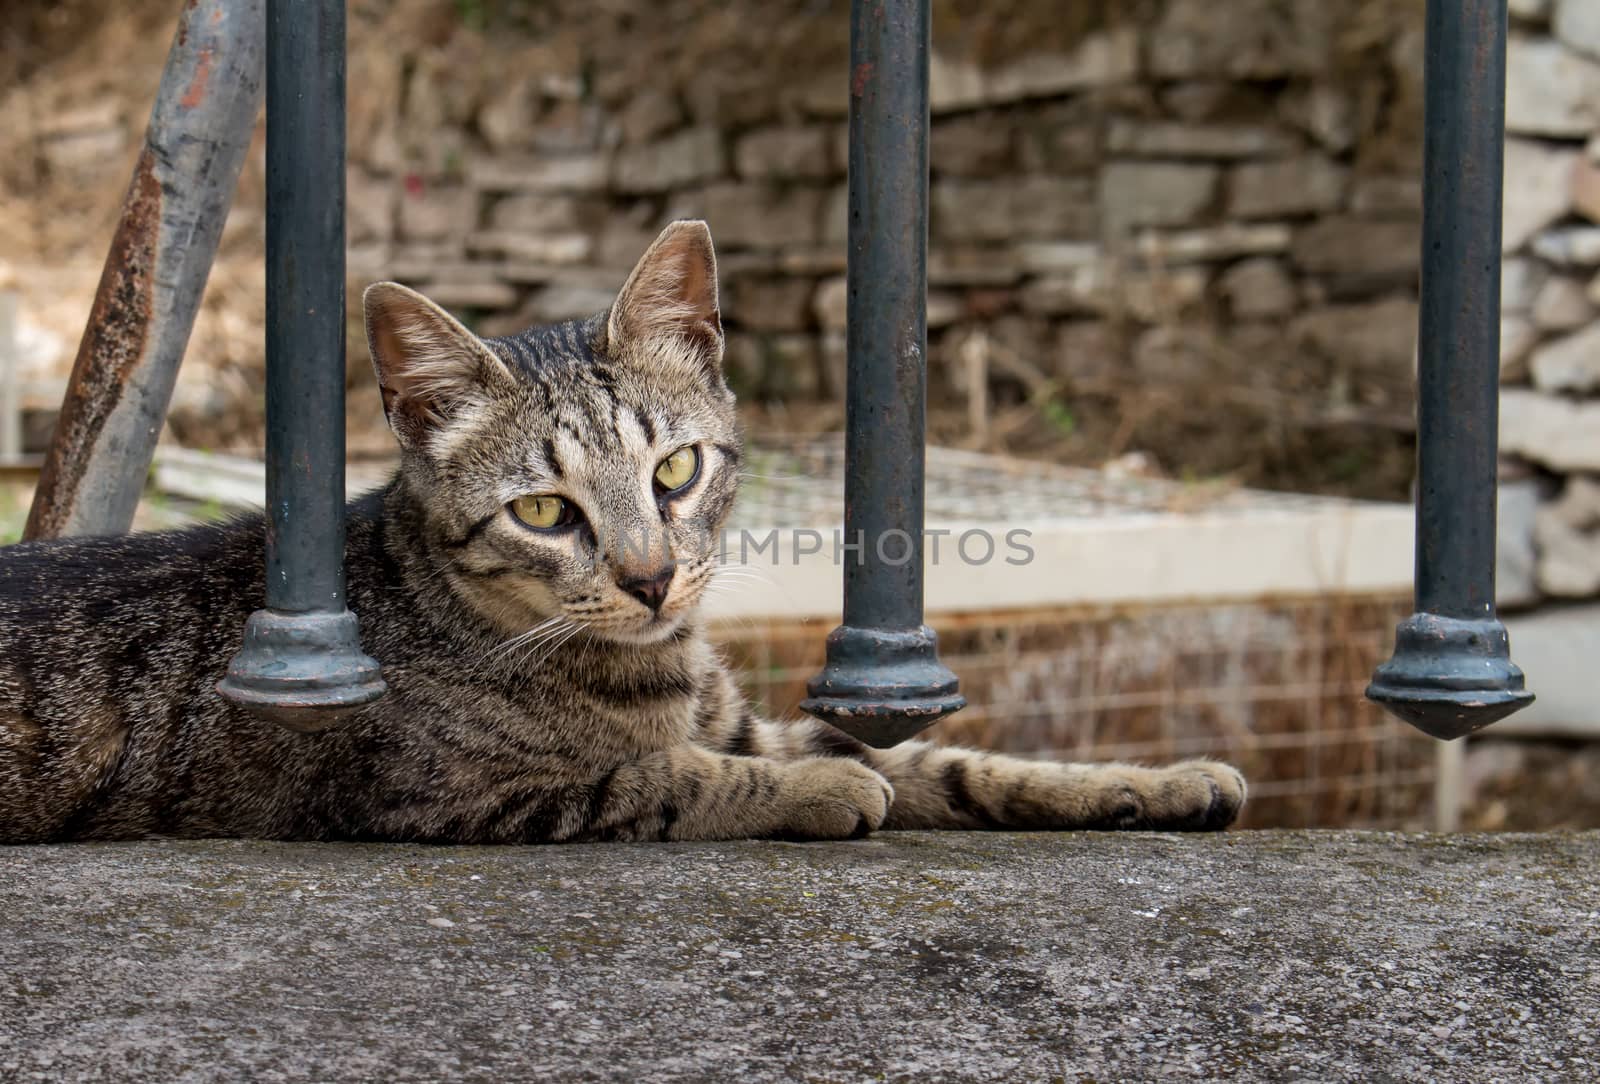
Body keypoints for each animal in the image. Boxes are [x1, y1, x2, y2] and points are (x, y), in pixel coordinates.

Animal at [0, 222, 1248, 850]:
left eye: (675, 471)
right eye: (545, 511)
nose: (651, 579)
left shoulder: (749, 720)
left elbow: (949, 759)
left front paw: (1154, 780)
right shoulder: (447, 794)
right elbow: (665, 776)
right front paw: (816, 793)